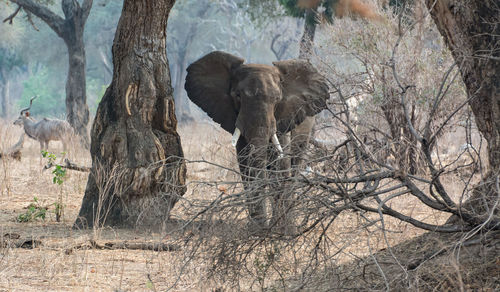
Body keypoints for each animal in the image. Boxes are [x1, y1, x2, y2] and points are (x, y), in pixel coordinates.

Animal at [184, 51, 328, 229]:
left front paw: (280, 229)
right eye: (237, 96)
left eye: (277, 99)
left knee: (296, 162)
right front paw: (258, 228)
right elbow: (246, 164)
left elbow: (280, 163)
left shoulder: (283, 118)